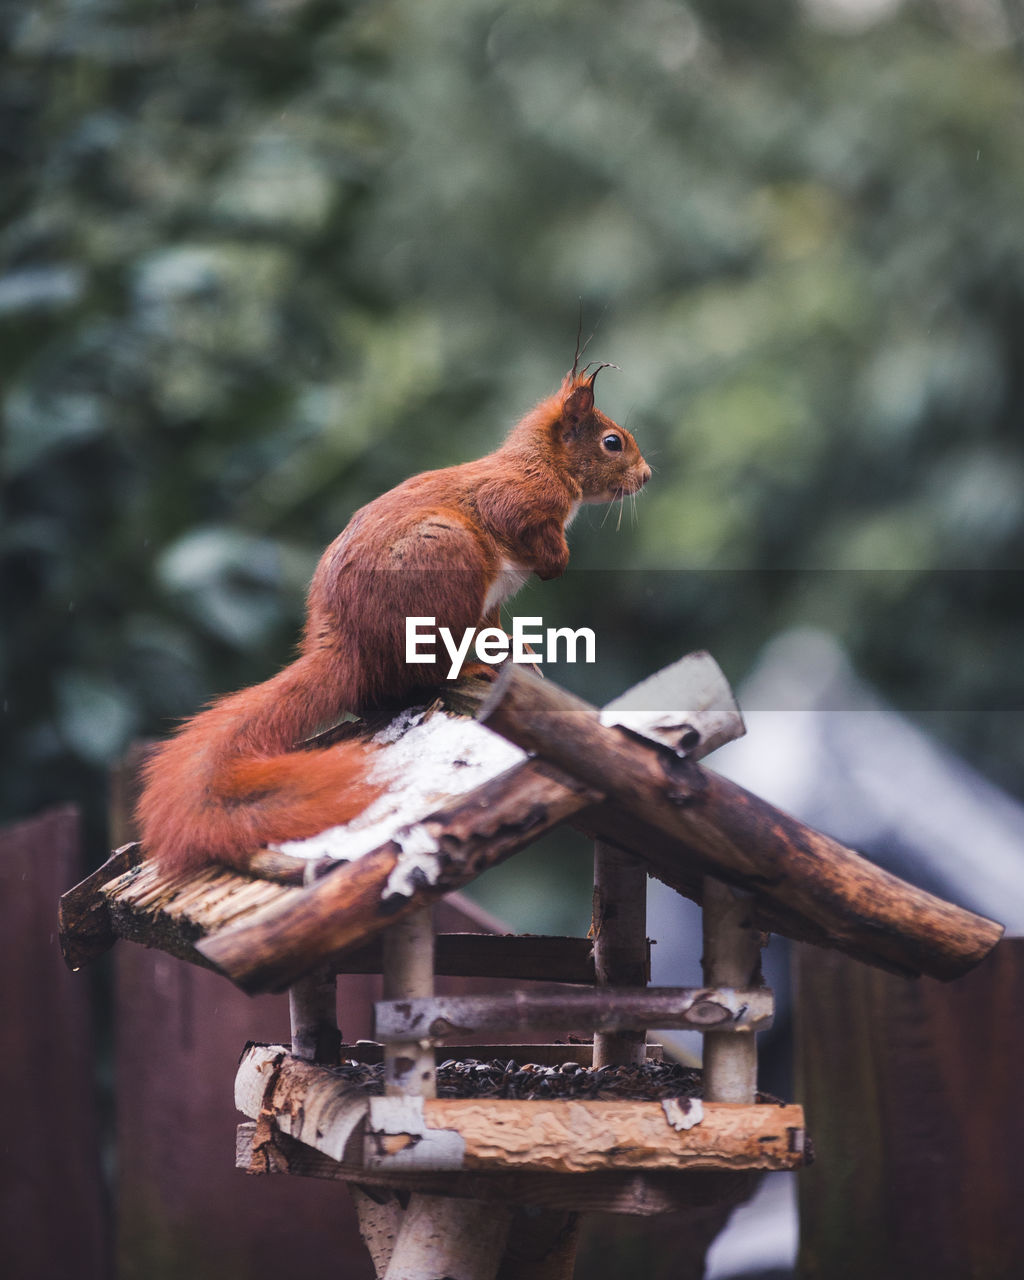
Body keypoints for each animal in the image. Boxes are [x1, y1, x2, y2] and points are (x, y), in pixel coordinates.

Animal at [138, 366, 647, 875]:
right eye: (612, 442)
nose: (645, 476)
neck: (545, 463)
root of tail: (348, 643)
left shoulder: (493, 605)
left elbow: (497, 630)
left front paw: (523, 652)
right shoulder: (515, 496)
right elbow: (517, 522)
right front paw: (556, 561)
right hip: (445, 562)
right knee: (425, 670)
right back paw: (470, 669)